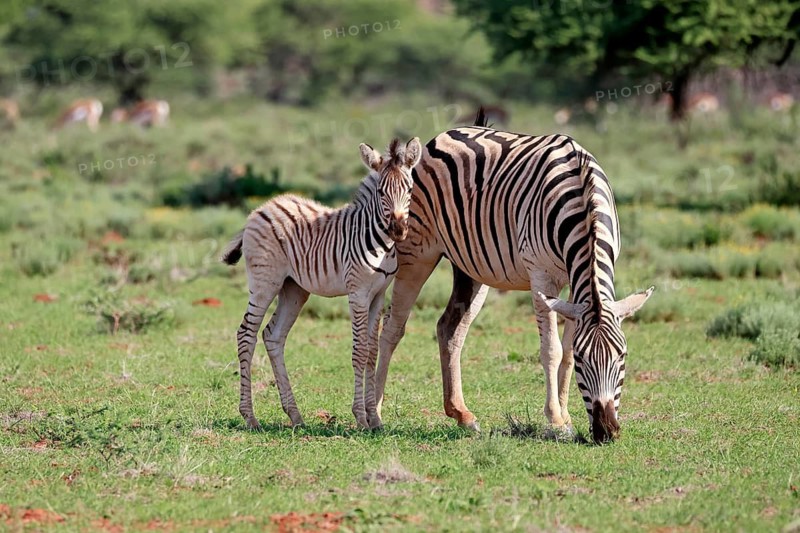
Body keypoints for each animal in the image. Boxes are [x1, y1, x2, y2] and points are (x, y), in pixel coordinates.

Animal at [221, 137, 421, 430]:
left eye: (409, 189)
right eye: (381, 192)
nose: (398, 230)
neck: (382, 244)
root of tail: (261, 208)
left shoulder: (378, 295)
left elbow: (372, 352)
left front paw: (374, 419)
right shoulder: (357, 293)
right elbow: (360, 350)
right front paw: (361, 418)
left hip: (293, 289)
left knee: (272, 335)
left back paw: (295, 415)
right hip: (265, 283)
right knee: (246, 333)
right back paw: (250, 416)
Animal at [375, 110, 653, 442]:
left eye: (622, 357)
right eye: (585, 362)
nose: (606, 431)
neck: (583, 201)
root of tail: (449, 133)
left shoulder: (577, 290)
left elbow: (566, 350)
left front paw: (566, 415)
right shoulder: (541, 277)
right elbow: (552, 349)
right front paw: (556, 420)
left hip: (472, 266)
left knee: (449, 328)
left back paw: (462, 414)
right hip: (416, 252)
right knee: (393, 326)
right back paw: (372, 413)